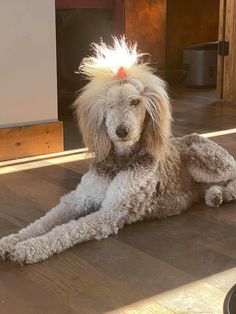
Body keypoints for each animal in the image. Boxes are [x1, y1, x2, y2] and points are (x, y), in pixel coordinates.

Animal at [0, 37, 235, 264]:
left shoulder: (111, 212)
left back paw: (219, 193)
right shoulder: (77, 199)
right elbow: (42, 222)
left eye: (135, 102)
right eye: (109, 104)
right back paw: (215, 195)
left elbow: (67, 229)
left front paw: (29, 248)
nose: (121, 131)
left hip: (202, 160)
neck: (119, 160)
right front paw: (11, 241)